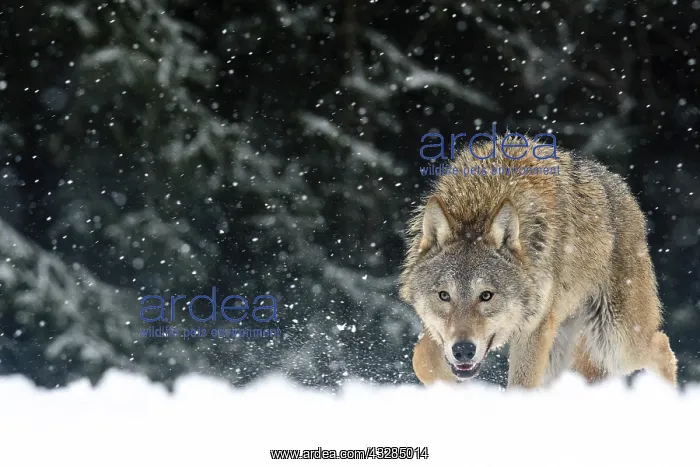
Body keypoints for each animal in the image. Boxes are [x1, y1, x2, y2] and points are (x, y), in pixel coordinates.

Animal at [399, 135, 677, 389]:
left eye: (486, 295)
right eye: (444, 296)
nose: (464, 350)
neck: (480, 205)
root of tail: (624, 190)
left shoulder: (534, 329)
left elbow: (521, 386)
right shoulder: (435, 331)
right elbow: (421, 359)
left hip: (615, 342)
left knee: (663, 347)